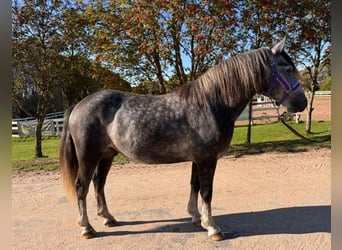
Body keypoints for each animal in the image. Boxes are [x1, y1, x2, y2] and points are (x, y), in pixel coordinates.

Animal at [59, 38, 308, 240]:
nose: (302, 103)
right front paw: (213, 228)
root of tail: (78, 105)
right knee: (82, 186)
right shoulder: (207, 159)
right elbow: (207, 191)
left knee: (99, 183)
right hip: (88, 156)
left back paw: (108, 218)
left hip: (107, 154)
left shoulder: (198, 159)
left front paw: (196, 218)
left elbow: (194, 186)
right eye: (287, 68)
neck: (210, 104)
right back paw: (86, 228)